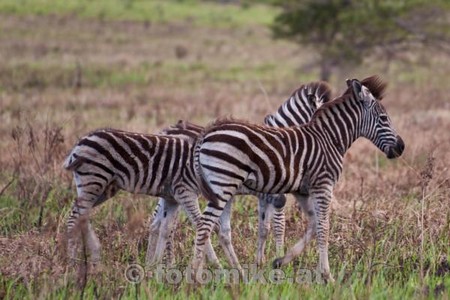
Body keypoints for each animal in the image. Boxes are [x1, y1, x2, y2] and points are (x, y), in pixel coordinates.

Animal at [146, 81, 332, 266]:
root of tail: (168, 129)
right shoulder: (275, 193)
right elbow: (279, 226)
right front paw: (278, 258)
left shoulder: (267, 195)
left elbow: (264, 228)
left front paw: (261, 262)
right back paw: (173, 262)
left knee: (157, 221)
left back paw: (154, 262)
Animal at [190, 75, 404, 282]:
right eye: (384, 118)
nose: (401, 147)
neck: (330, 139)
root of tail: (207, 132)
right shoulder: (322, 186)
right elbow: (322, 228)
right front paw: (327, 276)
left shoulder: (301, 191)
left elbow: (311, 225)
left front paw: (278, 262)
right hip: (222, 186)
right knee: (204, 225)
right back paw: (195, 277)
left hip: (225, 188)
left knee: (220, 230)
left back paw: (237, 274)